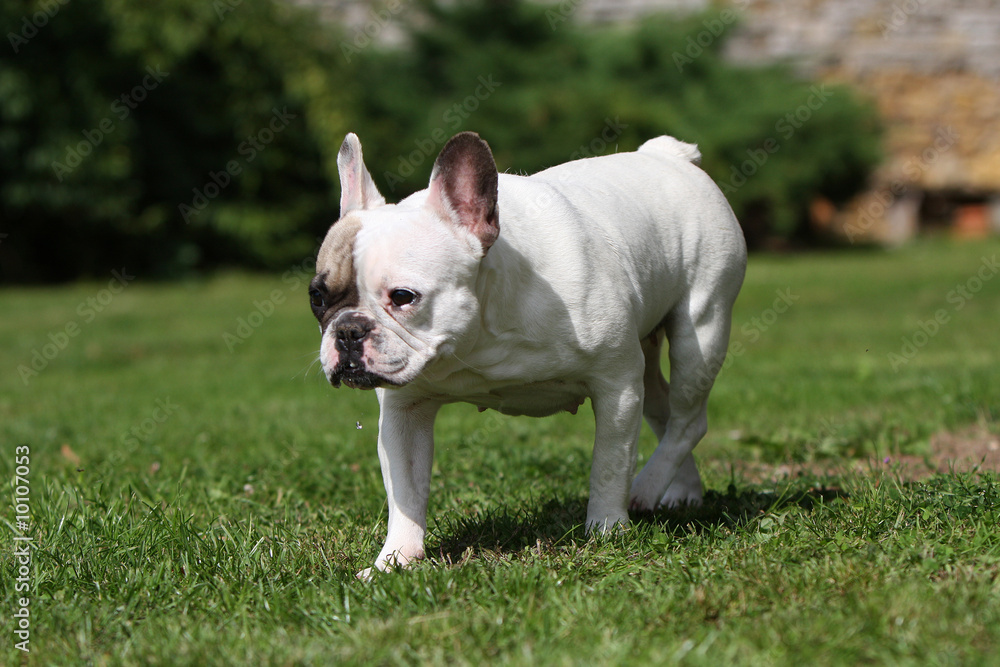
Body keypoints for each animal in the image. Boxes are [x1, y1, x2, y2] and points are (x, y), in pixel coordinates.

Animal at [308, 132, 748, 580]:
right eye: (317, 297)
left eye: (402, 297)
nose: (347, 331)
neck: (479, 335)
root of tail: (667, 155)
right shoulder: (405, 411)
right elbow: (406, 492)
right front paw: (395, 560)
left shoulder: (616, 383)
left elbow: (609, 464)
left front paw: (607, 530)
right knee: (665, 414)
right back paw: (680, 492)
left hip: (701, 328)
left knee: (688, 420)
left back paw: (645, 487)